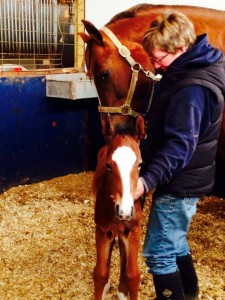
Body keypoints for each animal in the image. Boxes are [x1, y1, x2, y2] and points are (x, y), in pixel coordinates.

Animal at [92, 134, 143, 300]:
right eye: (108, 165)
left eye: (140, 164)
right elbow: (100, 274)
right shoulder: (102, 230)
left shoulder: (134, 230)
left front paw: (125, 288)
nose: (124, 211)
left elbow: (133, 275)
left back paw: (122, 290)